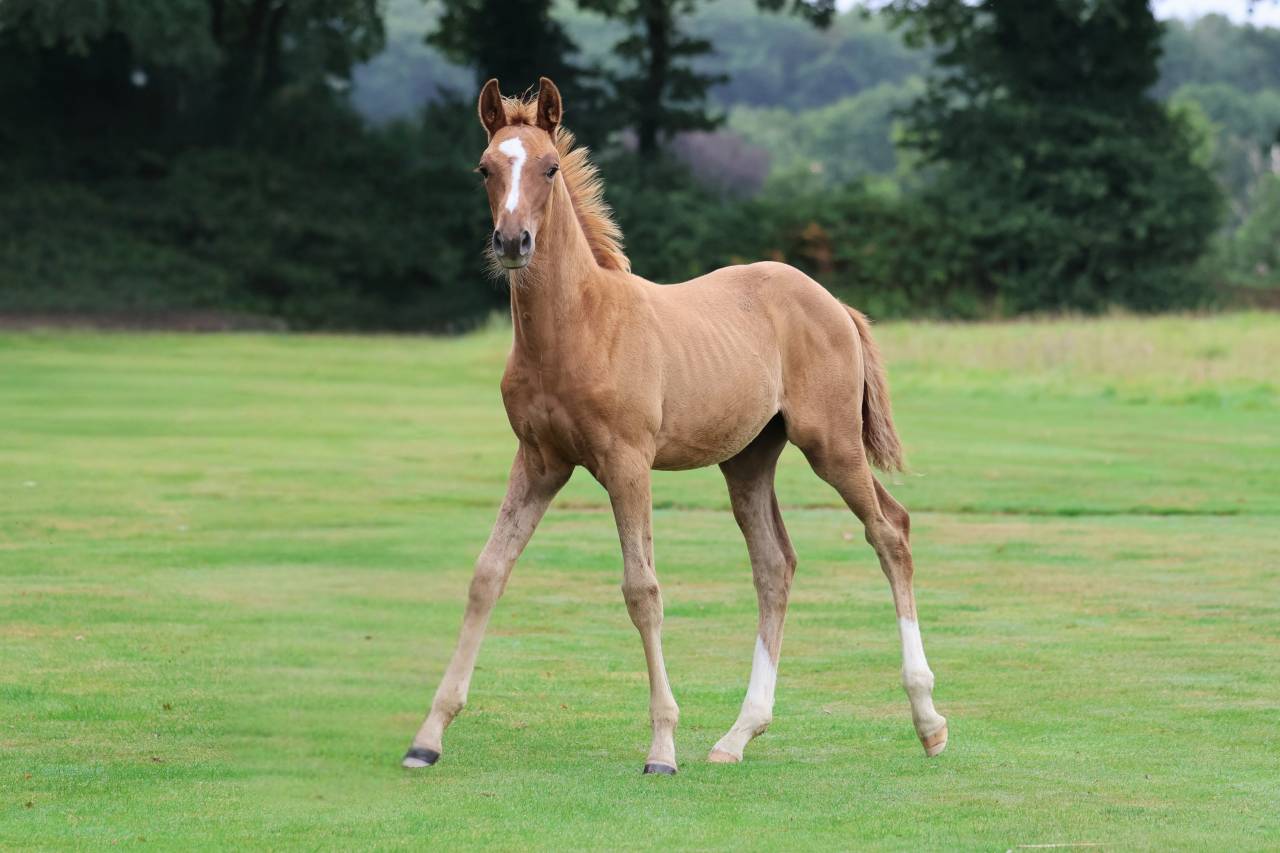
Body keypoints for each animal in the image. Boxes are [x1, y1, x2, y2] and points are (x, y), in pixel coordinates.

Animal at [402, 77, 948, 774]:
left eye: (549, 168)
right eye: (485, 168)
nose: (512, 243)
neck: (577, 328)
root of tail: (834, 304)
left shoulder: (626, 463)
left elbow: (643, 590)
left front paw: (661, 748)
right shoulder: (539, 462)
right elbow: (487, 575)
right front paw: (428, 737)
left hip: (832, 446)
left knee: (890, 533)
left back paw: (928, 721)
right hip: (748, 459)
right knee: (776, 565)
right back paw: (738, 735)